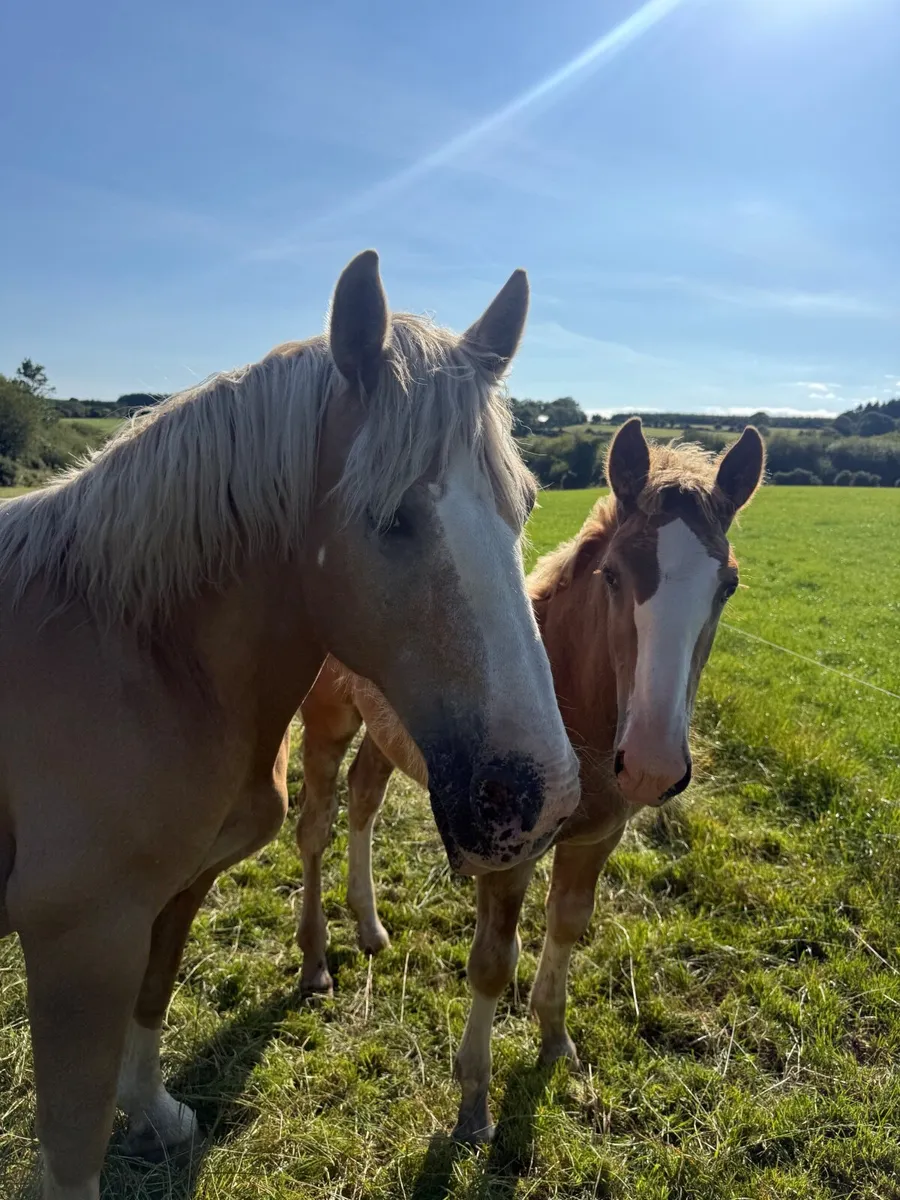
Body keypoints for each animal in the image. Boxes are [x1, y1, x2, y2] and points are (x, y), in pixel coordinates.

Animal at [0, 250, 580, 1199]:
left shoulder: (177, 893)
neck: (140, 653)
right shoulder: (79, 942)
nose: (541, 795)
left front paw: (154, 1114)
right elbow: (72, 1148)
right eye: (390, 517)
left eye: (525, 506)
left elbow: (154, 1000)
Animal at [295, 417, 765, 1140]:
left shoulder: (596, 841)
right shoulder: (508, 854)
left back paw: (370, 927)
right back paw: (316, 959)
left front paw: (554, 1041)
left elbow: (568, 925)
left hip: (386, 733)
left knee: (365, 797)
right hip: (329, 718)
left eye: (728, 585)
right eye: (612, 575)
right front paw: (473, 1104)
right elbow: (493, 964)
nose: (652, 765)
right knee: (314, 827)